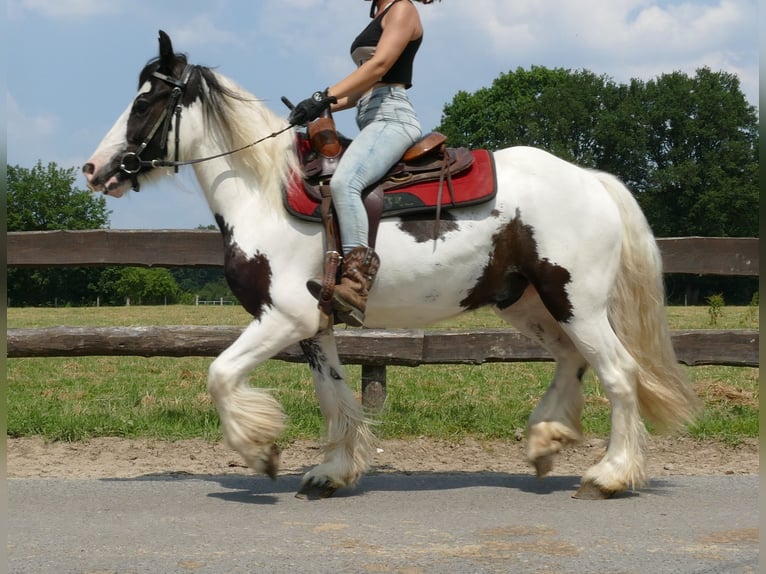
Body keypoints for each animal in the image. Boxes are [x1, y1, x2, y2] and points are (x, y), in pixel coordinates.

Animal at [84, 30, 704, 500]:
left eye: (144, 103)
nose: (94, 169)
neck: (264, 193)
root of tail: (593, 181)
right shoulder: (314, 325)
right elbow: (334, 397)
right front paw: (331, 473)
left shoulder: (282, 317)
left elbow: (220, 374)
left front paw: (260, 452)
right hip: (527, 303)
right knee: (572, 359)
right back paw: (546, 438)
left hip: (576, 301)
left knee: (619, 373)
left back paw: (609, 475)